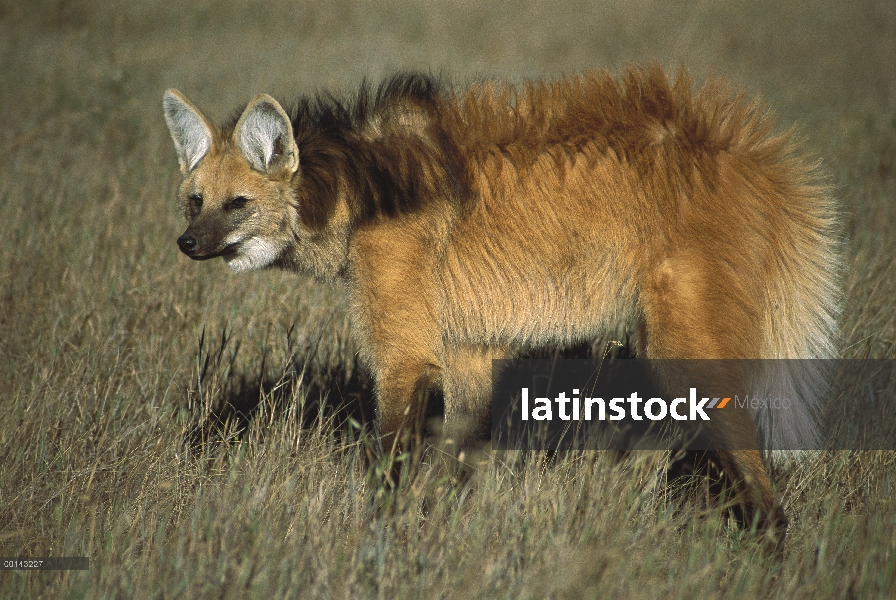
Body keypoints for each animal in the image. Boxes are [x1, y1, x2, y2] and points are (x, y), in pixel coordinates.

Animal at [166, 67, 840, 544]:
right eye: (195, 201)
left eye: (237, 203)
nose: (187, 244)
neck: (358, 194)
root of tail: (746, 150)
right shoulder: (469, 350)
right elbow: (459, 456)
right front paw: (442, 534)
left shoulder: (406, 352)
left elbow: (394, 455)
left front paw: (381, 544)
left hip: (686, 343)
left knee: (761, 482)